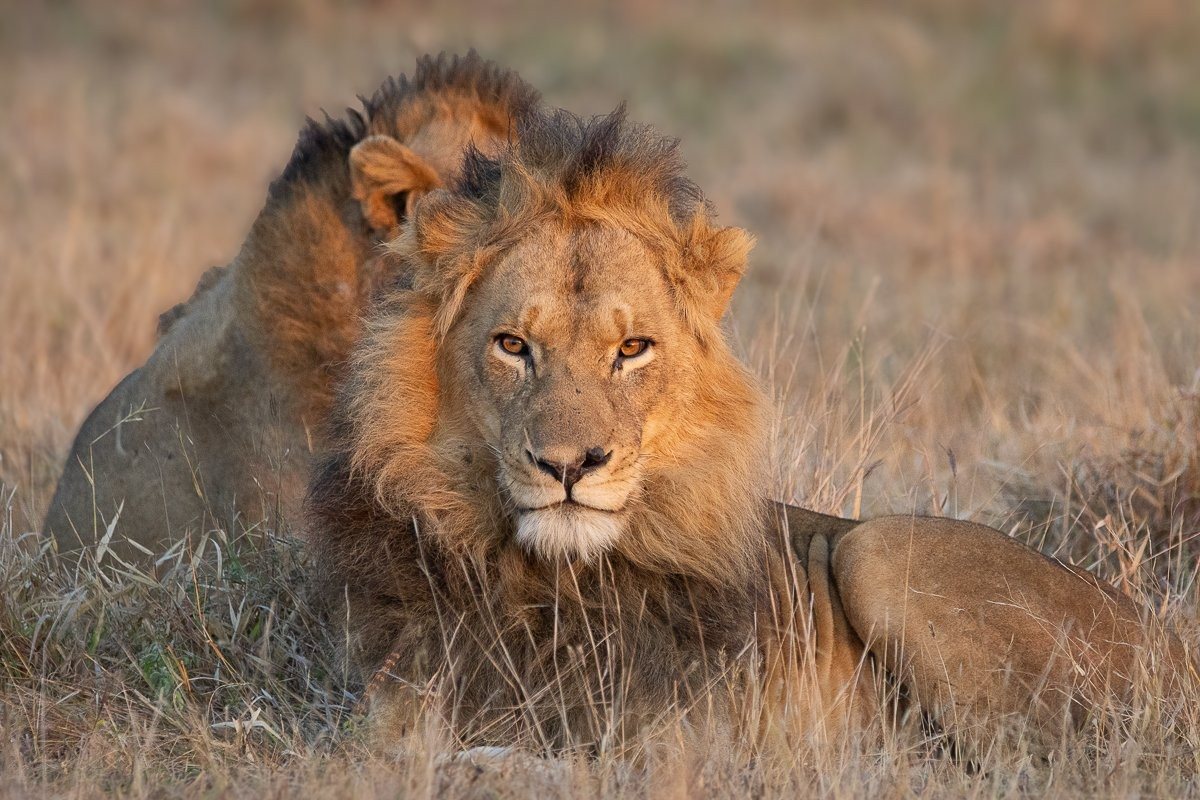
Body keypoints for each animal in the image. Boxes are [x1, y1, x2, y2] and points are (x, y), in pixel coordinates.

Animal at [310, 107, 1193, 758]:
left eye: (632, 349)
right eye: (512, 346)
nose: (569, 465)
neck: (551, 581)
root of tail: (1172, 639)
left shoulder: (682, 743)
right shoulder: (393, 705)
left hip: (881, 549)